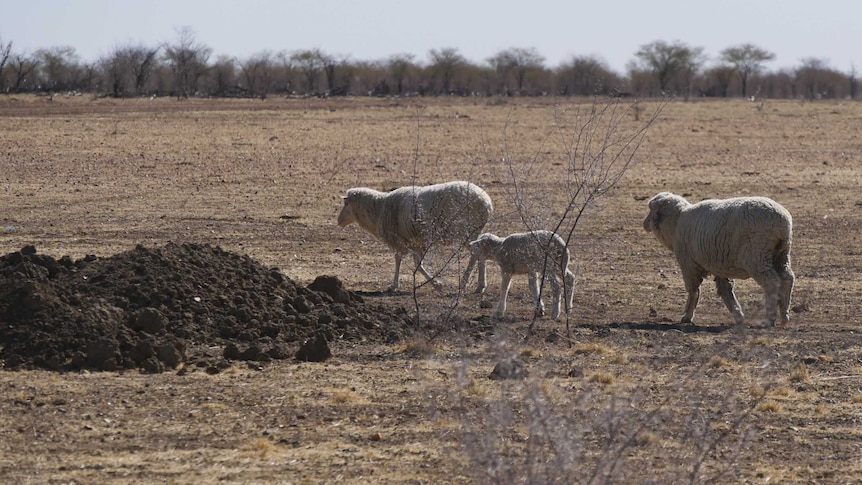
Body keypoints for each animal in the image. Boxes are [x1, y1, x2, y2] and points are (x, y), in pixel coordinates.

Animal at [340, 179, 496, 290]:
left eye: (346, 205)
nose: (338, 221)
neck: (378, 208)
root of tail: (486, 202)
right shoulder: (416, 241)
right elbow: (416, 263)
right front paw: (434, 283)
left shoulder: (399, 239)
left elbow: (400, 259)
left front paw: (395, 285)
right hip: (473, 231)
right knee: (480, 251)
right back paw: (480, 286)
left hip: (463, 231)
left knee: (475, 253)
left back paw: (464, 282)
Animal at [640, 192, 796, 326]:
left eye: (652, 210)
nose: (645, 223)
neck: (676, 222)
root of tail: (782, 221)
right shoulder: (718, 265)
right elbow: (725, 290)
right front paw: (738, 315)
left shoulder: (689, 265)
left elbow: (694, 291)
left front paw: (687, 317)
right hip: (781, 254)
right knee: (787, 279)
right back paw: (784, 316)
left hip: (757, 256)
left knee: (772, 282)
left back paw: (770, 318)